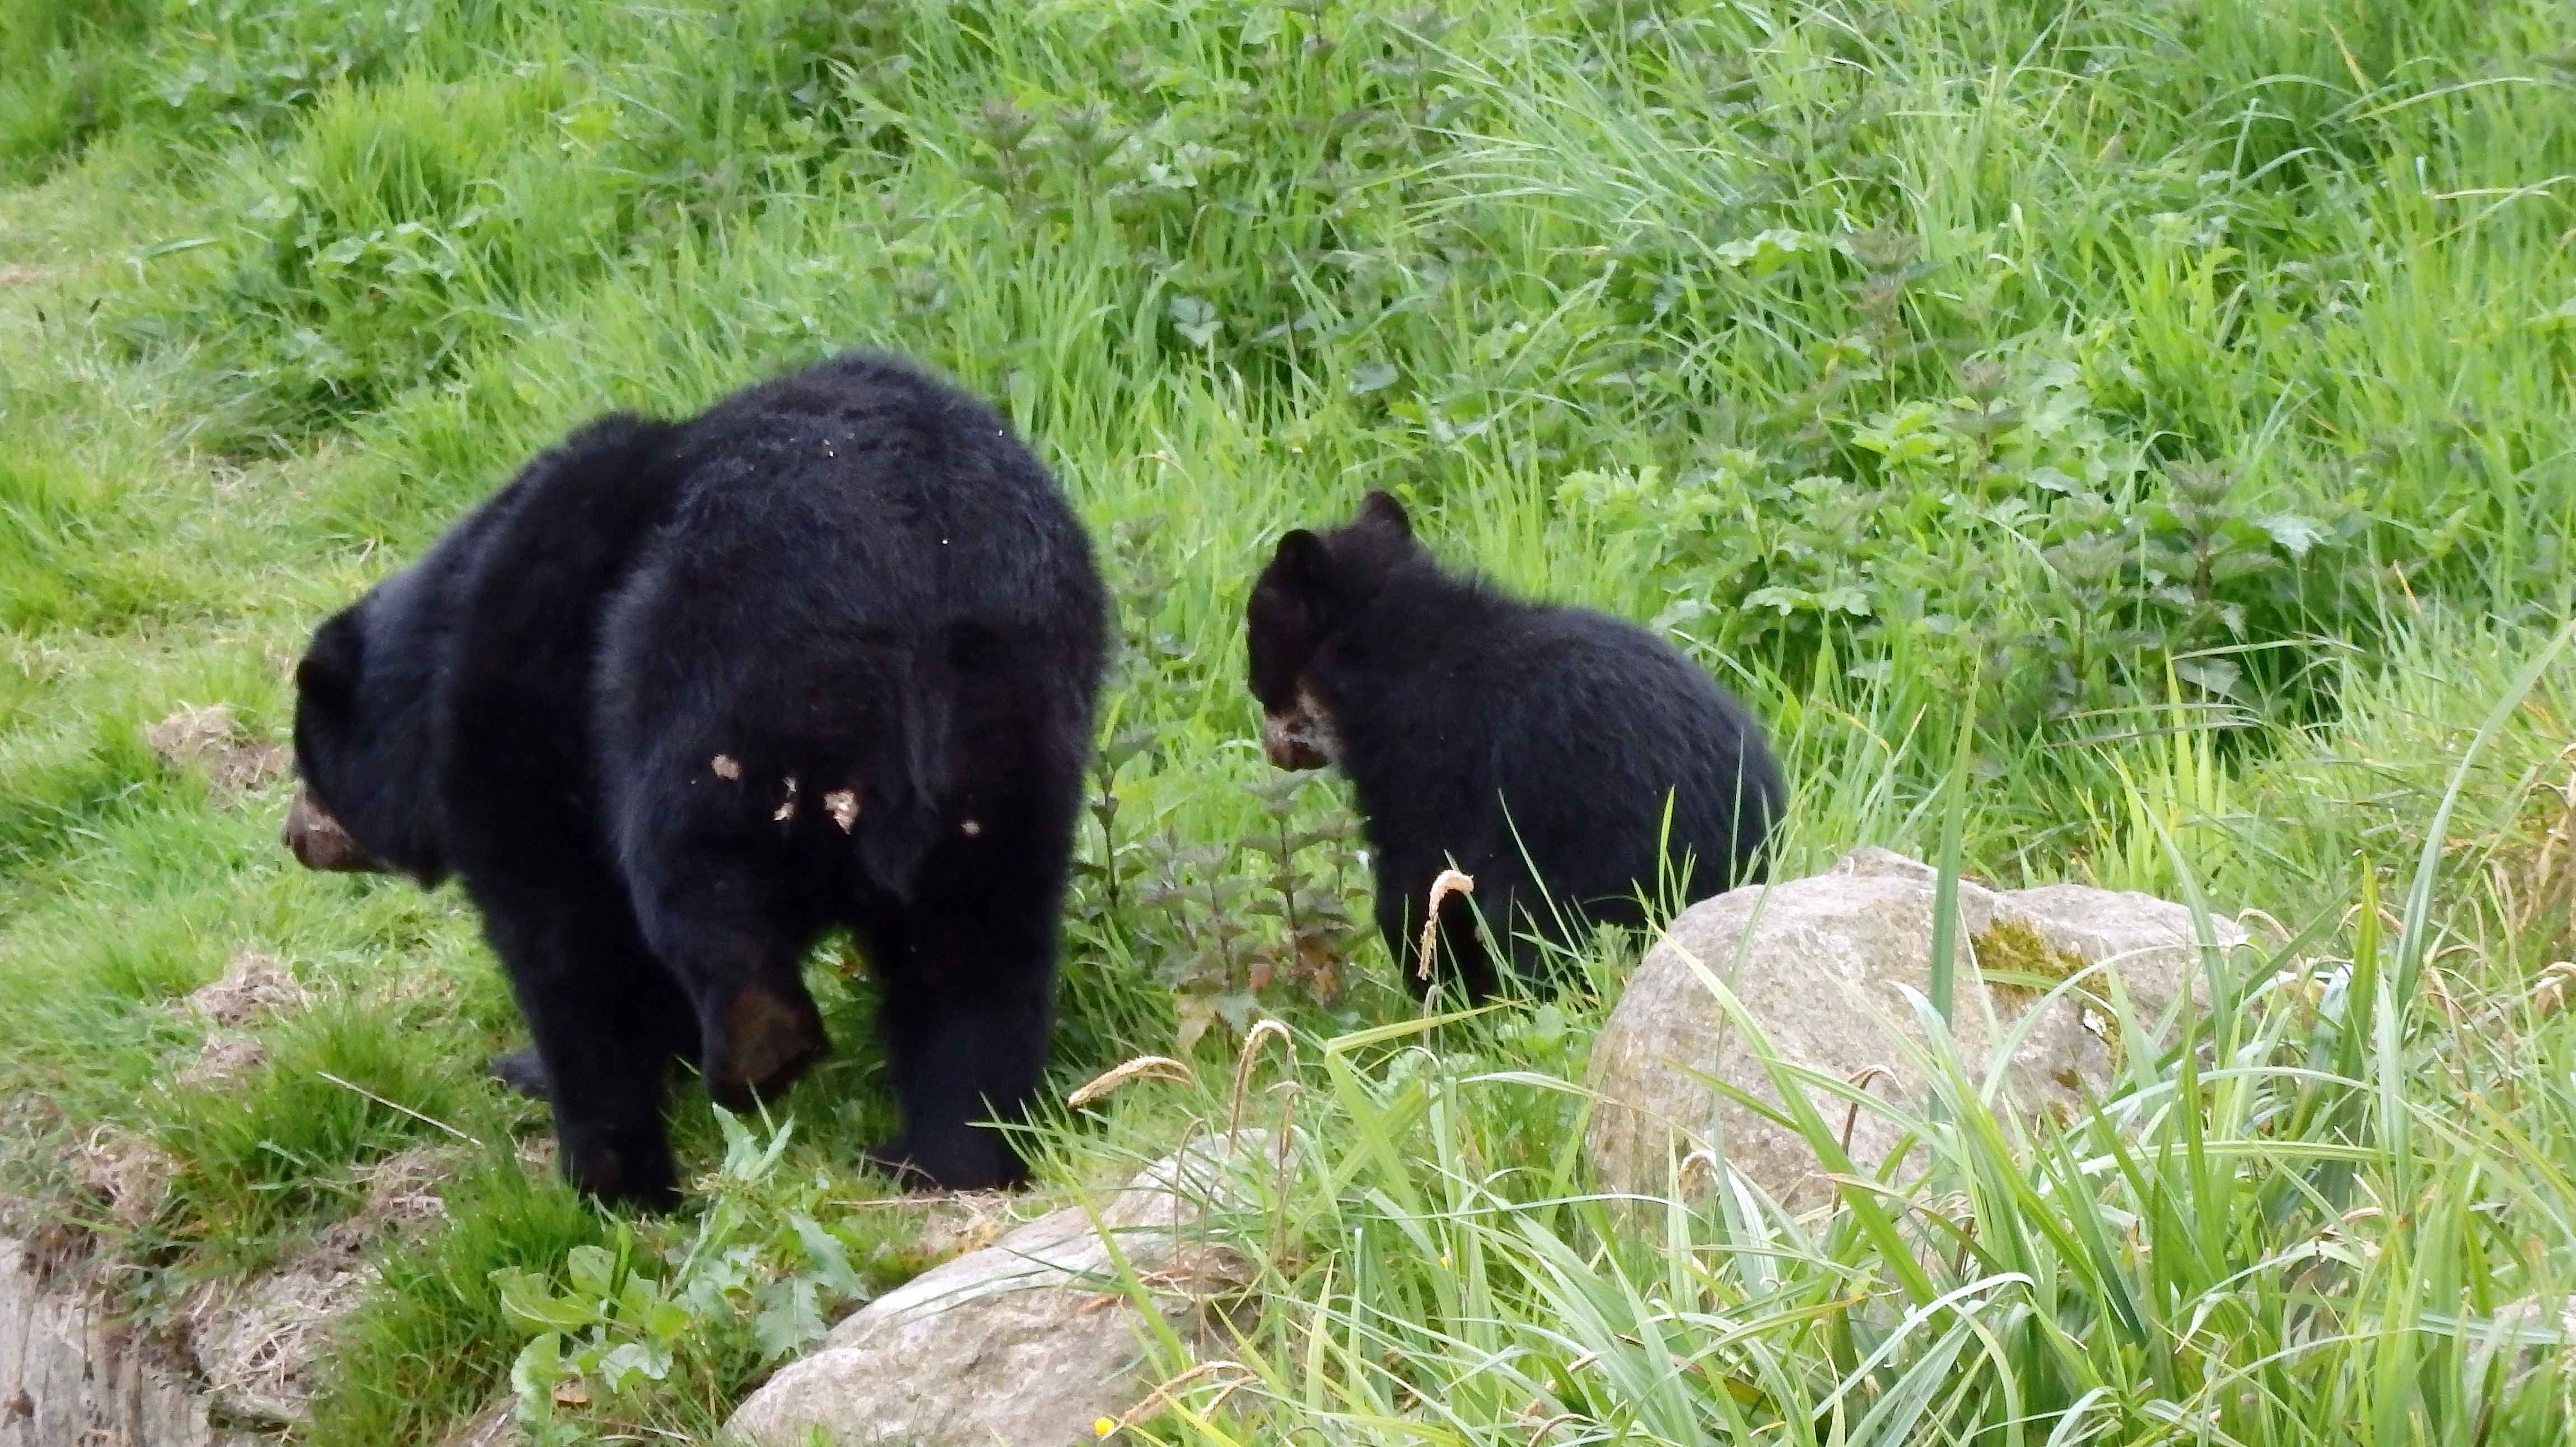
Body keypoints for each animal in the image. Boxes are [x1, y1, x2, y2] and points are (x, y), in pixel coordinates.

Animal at [282, 352, 1108, 1205]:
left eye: (305, 765)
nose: (294, 837)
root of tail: (923, 564)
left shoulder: (524, 732)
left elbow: (569, 948)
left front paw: (601, 1170)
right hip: (1013, 738)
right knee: (979, 948)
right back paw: (947, 1158)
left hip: (717, 682)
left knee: (688, 868)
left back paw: (758, 1051)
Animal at [1252, 489, 1793, 998]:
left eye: (1254, 642)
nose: (1274, 751)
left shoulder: (1424, 761)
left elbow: (1418, 883)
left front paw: (1442, 991)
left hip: (1579, 864)